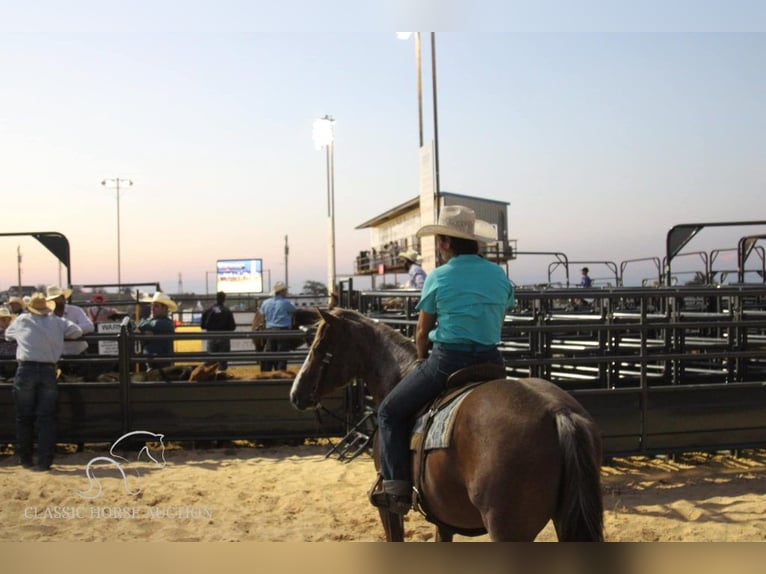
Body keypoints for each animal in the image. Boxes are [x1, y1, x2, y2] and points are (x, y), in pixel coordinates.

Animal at [290, 310, 608, 544]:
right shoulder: (443, 515)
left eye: (318, 348)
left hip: (507, 528)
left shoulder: (387, 508)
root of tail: (558, 412)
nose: (296, 393)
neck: (398, 375)